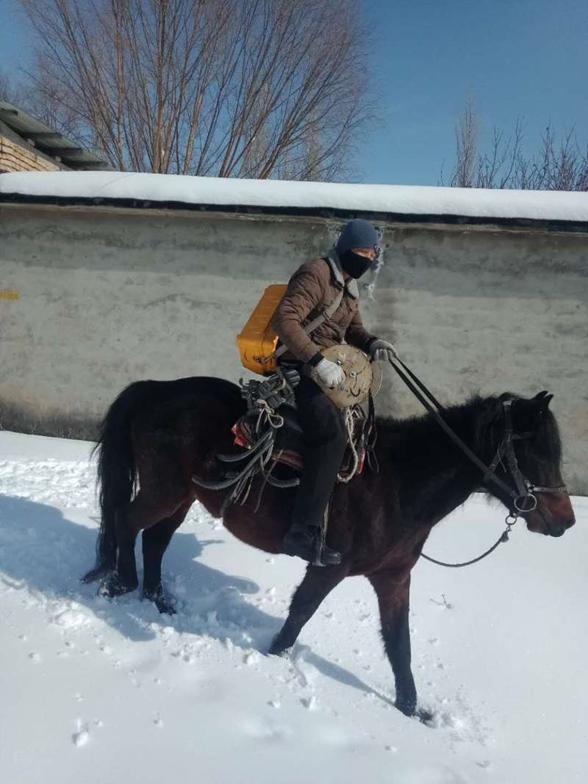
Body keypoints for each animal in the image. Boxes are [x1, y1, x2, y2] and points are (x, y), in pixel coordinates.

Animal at [82, 378, 576, 716]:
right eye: (536, 453)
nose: (566, 521)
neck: (400, 482)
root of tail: (155, 388)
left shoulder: (394, 578)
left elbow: (400, 643)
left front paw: (412, 711)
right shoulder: (328, 567)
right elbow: (299, 615)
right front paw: (272, 659)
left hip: (182, 495)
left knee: (155, 540)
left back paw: (158, 600)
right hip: (164, 490)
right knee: (127, 522)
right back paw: (118, 585)